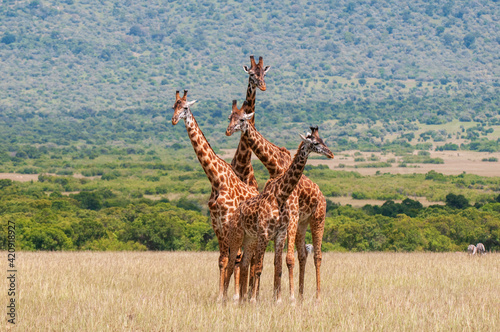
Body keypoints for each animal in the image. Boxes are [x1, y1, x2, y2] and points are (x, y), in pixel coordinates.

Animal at [171, 90, 260, 300]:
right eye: (173, 106)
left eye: (184, 107)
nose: (174, 120)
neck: (216, 181)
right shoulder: (217, 226)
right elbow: (222, 260)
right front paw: (222, 295)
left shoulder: (228, 224)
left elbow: (230, 260)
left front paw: (228, 296)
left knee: (251, 261)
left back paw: (250, 295)